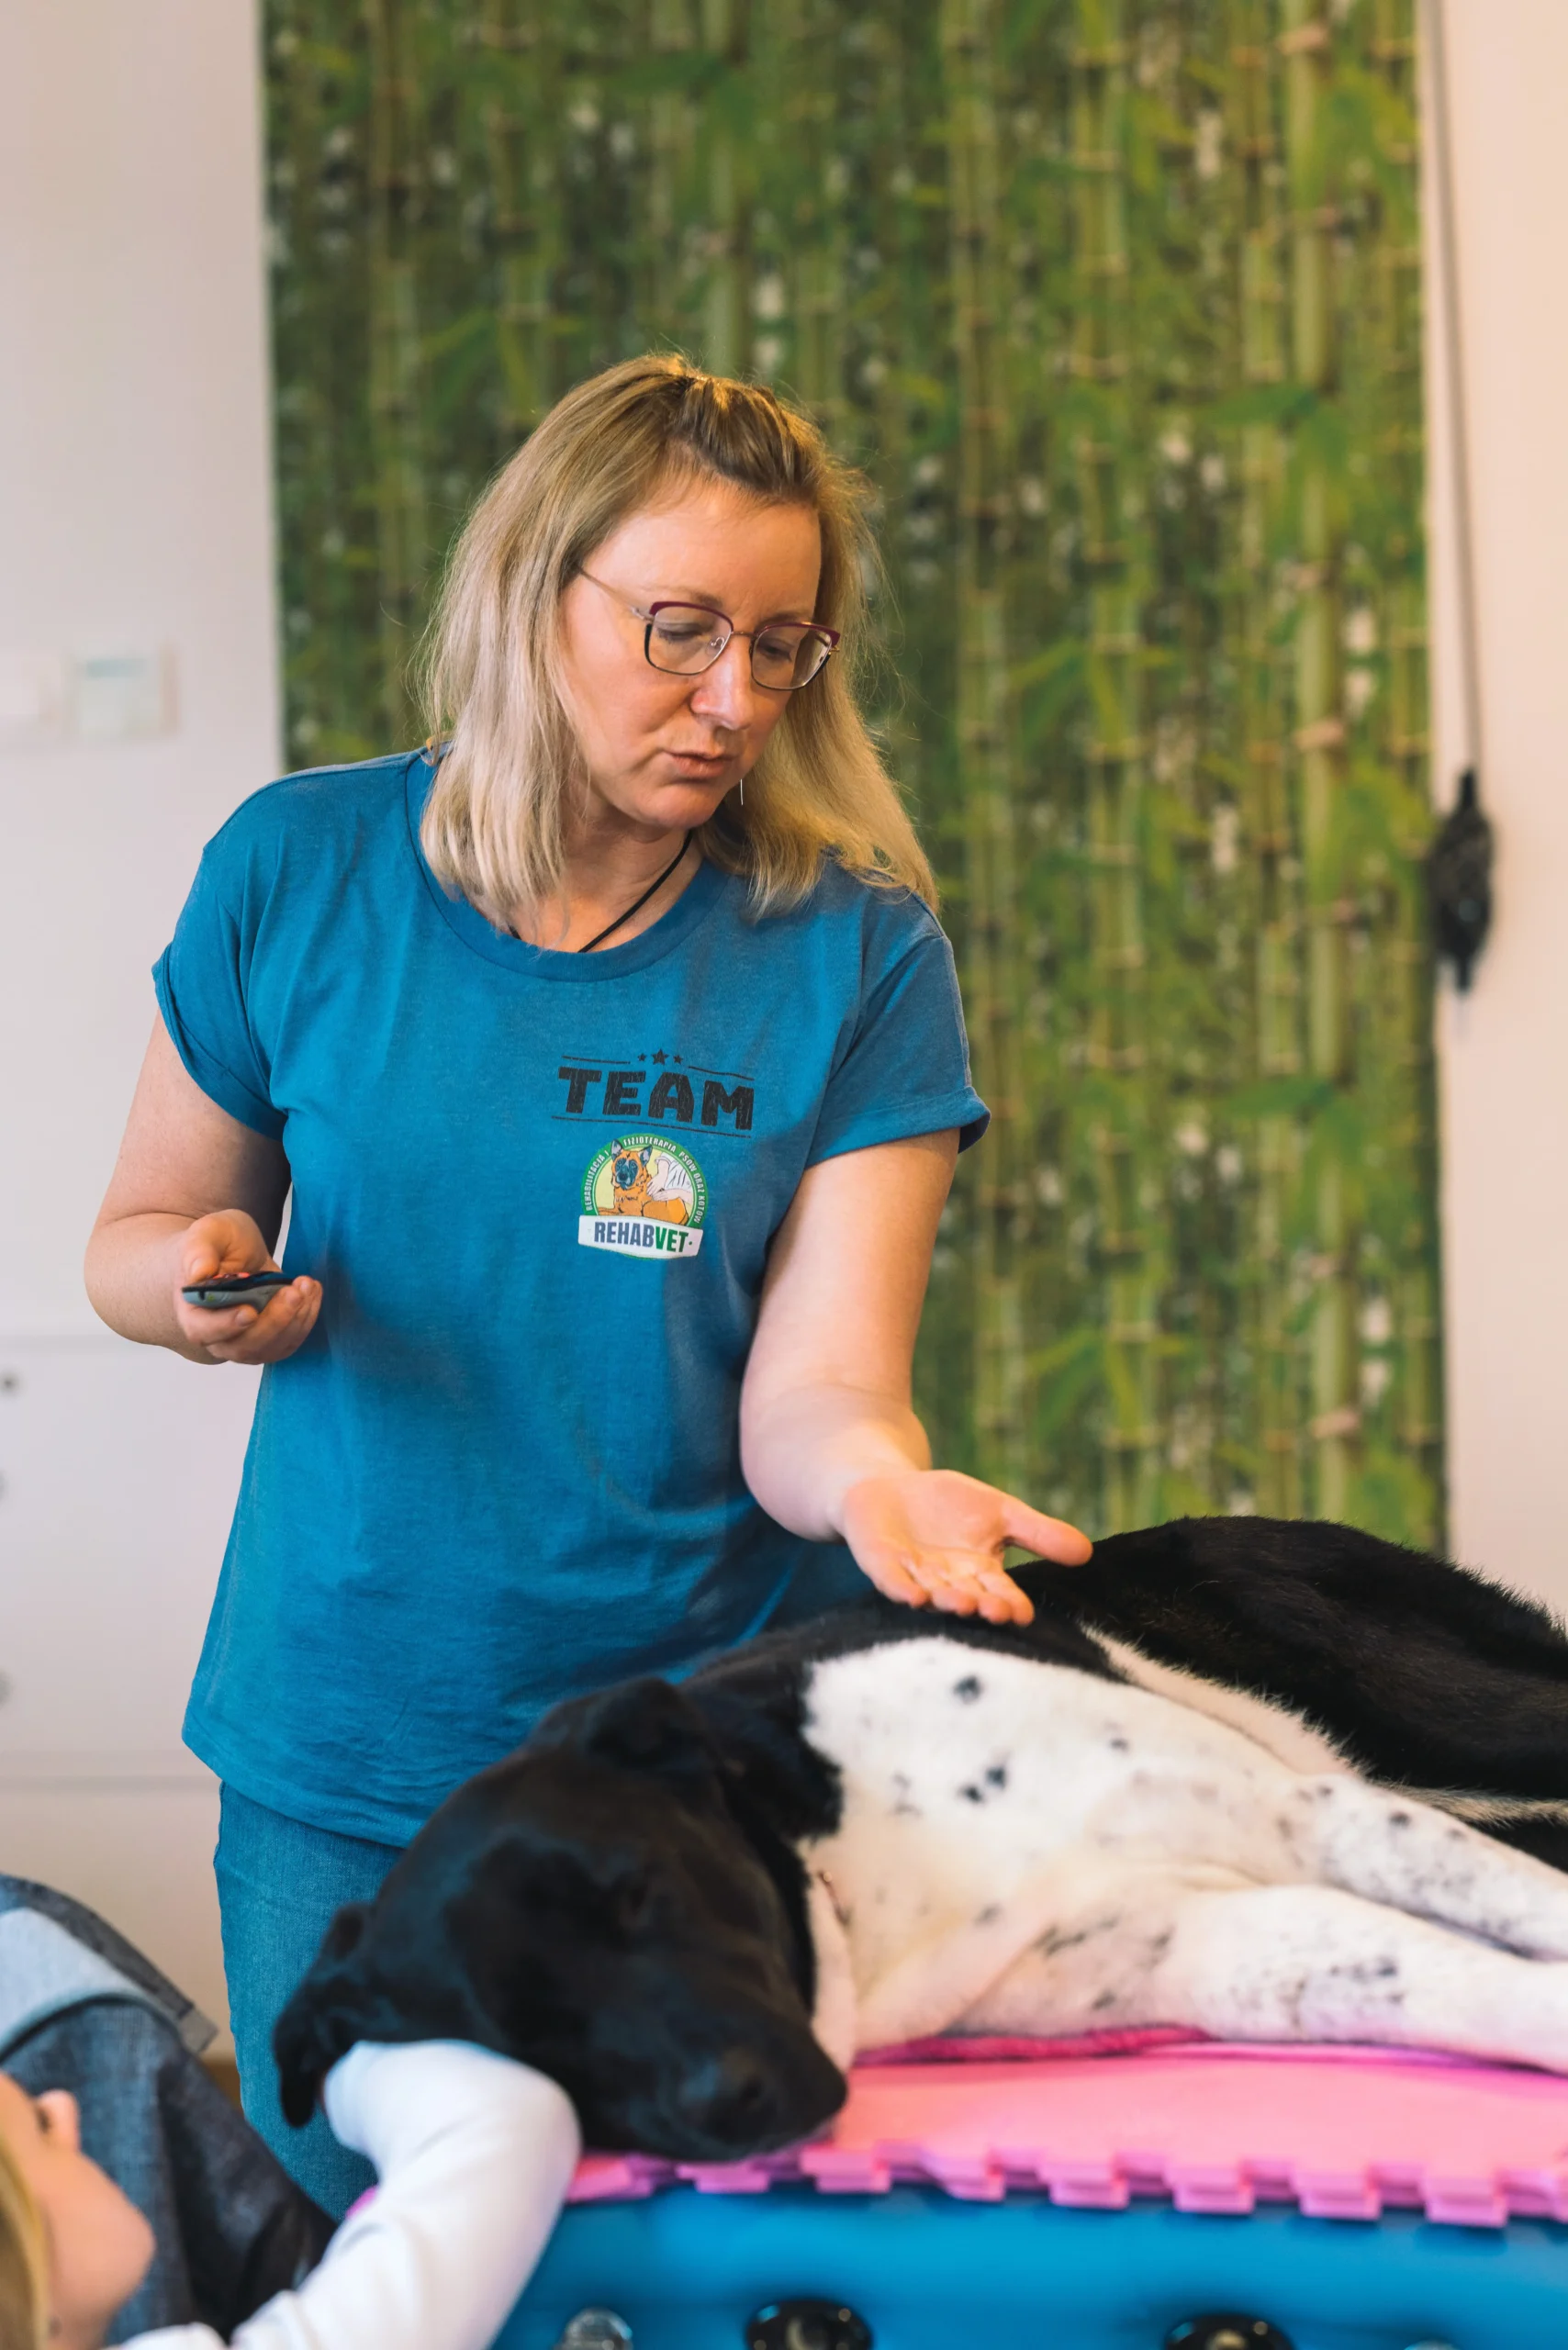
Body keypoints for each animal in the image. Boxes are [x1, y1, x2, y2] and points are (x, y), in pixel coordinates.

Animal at [275, 1517, 1568, 2164]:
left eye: (639, 1893)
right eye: (520, 2037)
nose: (726, 2105)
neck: (847, 1852)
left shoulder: (1306, 1814)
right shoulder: (1232, 1941)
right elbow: (1479, 1989)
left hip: (1448, 1722)